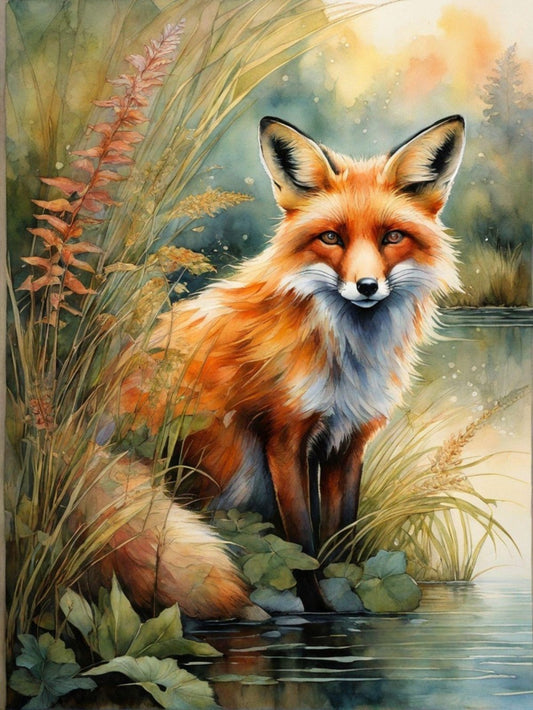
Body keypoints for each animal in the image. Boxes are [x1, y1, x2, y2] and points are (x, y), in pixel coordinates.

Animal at [91, 115, 465, 615]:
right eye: (331, 237)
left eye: (391, 237)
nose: (366, 286)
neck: (345, 357)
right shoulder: (285, 439)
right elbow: (302, 544)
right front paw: (318, 610)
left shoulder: (349, 442)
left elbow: (340, 539)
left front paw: (347, 598)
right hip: (224, 463)